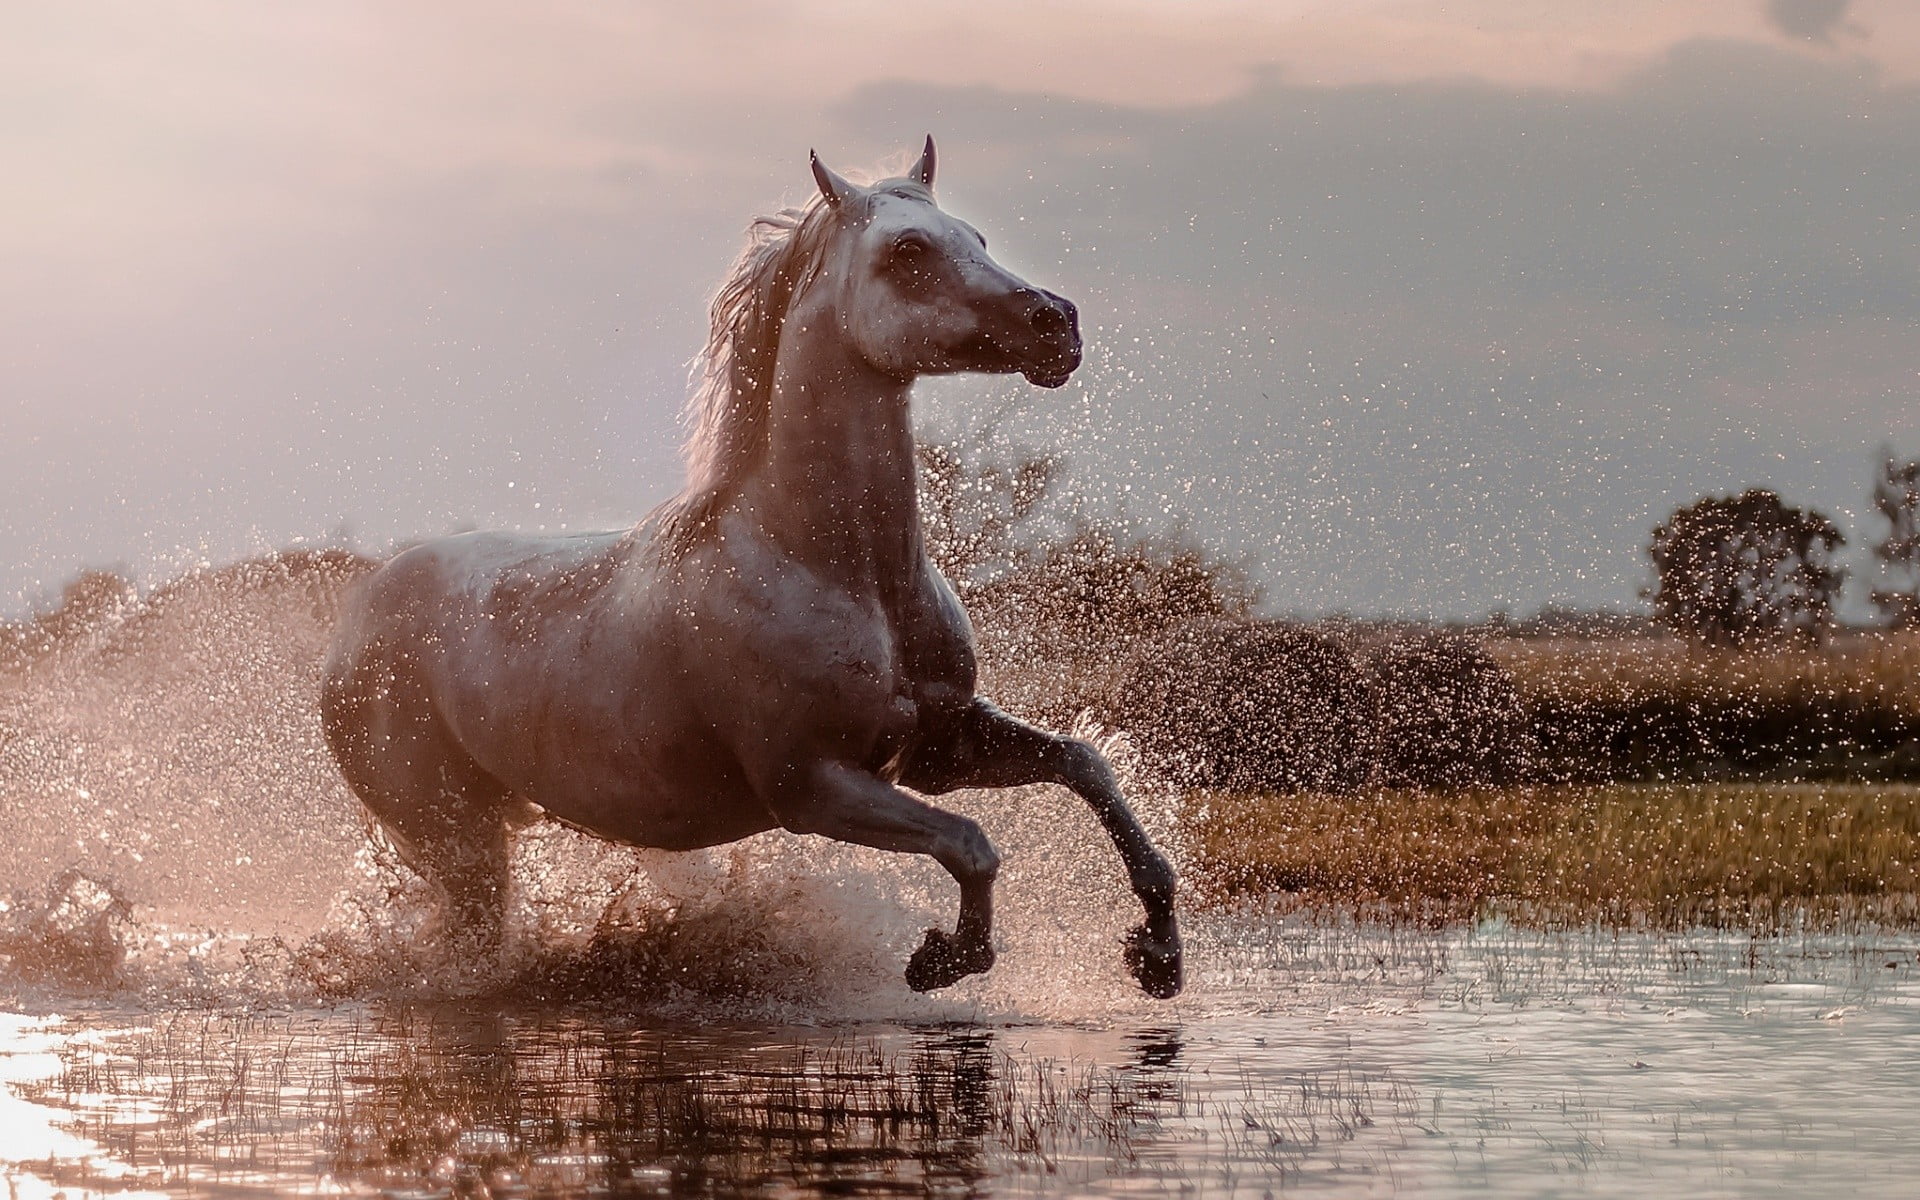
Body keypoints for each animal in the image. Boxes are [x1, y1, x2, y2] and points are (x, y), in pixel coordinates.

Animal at [319, 139, 1182, 998]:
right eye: (907, 250)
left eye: (976, 237)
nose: (1056, 325)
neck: (831, 568)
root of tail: (353, 624)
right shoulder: (812, 784)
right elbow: (971, 843)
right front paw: (945, 956)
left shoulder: (939, 747)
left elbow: (1085, 765)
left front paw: (1158, 952)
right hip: (454, 837)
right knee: (465, 949)